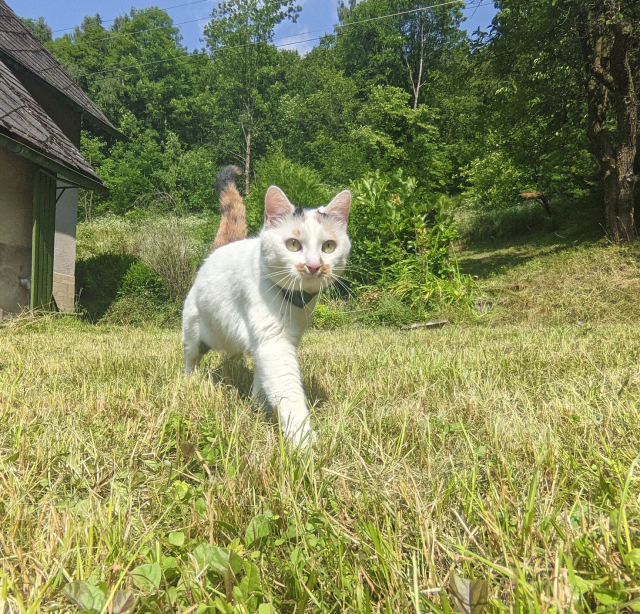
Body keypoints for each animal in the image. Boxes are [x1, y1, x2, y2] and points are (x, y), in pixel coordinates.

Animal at [180, 167, 352, 448]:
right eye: (293, 244)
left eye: (329, 246)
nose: (314, 266)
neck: (294, 301)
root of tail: (220, 250)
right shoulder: (274, 344)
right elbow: (288, 391)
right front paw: (303, 442)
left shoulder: (278, 340)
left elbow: (263, 379)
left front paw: (259, 405)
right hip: (194, 334)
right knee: (190, 359)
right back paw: (188, 382)